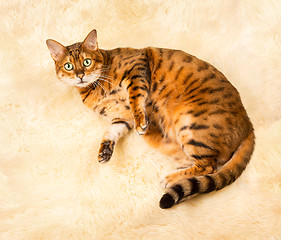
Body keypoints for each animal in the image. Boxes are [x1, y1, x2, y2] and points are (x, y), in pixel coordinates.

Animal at [46, 28, 254, 208]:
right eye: (68, 66)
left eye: (87, 62)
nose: (80, 75)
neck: (95, 90)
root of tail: (248, 124)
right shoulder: (121, 118)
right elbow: (111, 131)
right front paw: (105, 151)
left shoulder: (136, 67)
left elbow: (135, 96)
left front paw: (142, 122)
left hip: (190, 125)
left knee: (209, 167)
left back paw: (170, 178)